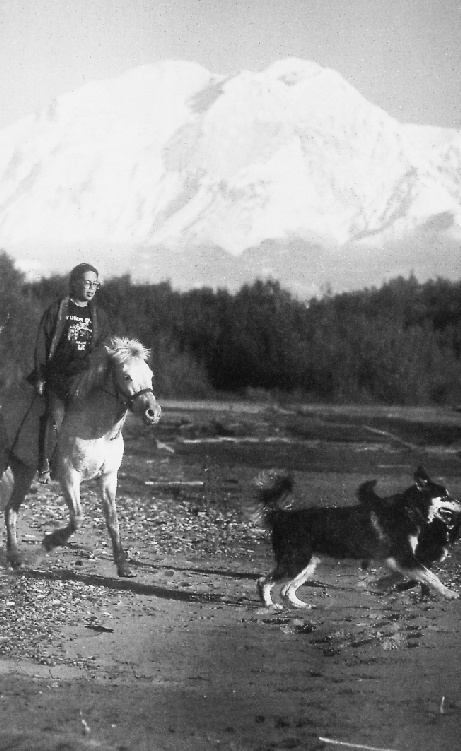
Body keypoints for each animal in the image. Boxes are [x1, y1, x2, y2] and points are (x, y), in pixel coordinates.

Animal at [0, 338, 162, 580]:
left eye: (150, 374)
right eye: (126, 376)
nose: (153, 413)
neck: (97, 430)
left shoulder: (108, 478)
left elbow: (112, 520)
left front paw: (123, 566)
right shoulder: (69, 476)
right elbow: (77, 518)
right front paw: (46, 546)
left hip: (24, 471)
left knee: (11, 509)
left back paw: (15, 558)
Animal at [253, 468, 458, 608]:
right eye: (445, 496)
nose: (460, 504)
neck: (410, 509)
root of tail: (281, 516)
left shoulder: (397, 560)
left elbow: (405, 576)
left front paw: (378, 584)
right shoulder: (403, 558)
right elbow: (432, 576)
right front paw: (449, 593)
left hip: (306, 565)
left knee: (286, 589)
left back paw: (301, 605)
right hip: (295, 562)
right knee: (264, 582)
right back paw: (269, 605)